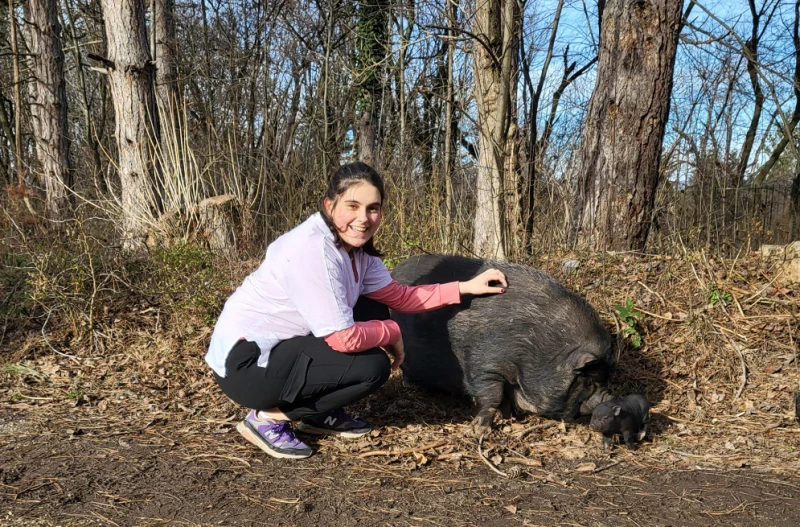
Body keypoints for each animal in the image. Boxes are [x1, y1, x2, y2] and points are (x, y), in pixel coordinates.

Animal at [390, 254, 616, 436]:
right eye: (588, 379)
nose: (609, 397)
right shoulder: (484, 364)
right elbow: (492, 395)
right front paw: (480, 431)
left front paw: (510, 418)